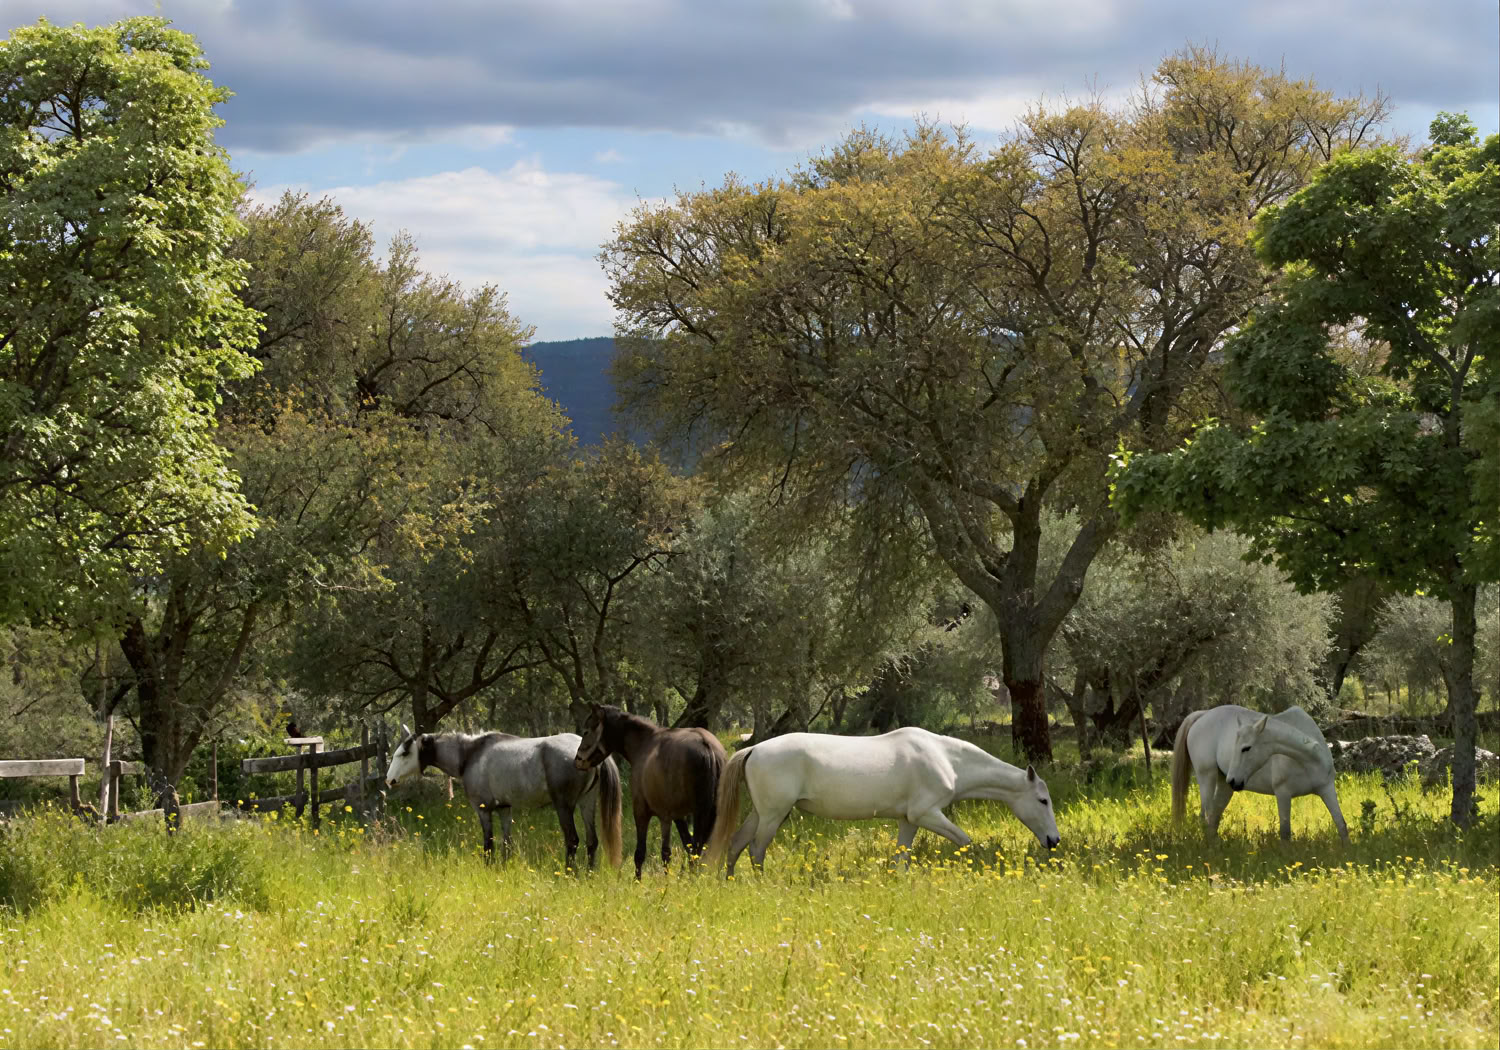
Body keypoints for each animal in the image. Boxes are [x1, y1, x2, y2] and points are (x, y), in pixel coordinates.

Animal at [385, 725, 623, 869]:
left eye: (405, 753)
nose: (389, 780)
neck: (470, 755)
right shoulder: (504, 809)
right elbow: (506, 843)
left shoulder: (483, 809)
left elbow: (488, 843)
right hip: (587, 803)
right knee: (592, 841)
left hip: (564, 806)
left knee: (573, 840)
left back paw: (569, 874)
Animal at [572, 704, 725, 879]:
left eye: (586, 732)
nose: (577, 760)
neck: (644, 744)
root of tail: (707, 746)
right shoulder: (676, 816)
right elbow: (682, 846)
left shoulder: (643, 812)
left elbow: (642, 852)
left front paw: (638, 880)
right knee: (700, 848)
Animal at [701, 727, 1060, 876]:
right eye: (1043, 800)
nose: (1054, 840)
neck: (945, 758)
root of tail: (754, 749)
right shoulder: (927, 814)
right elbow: (964, 841)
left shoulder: (908, 820)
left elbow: (902, 856)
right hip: (774, 815)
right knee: (755, 849)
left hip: (763, 814)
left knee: (736, 844)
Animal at [1171, 704, 1349, 843]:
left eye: (1246, 748)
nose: (1234, 780)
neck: (1308, 760)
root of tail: (1202, 715)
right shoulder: (1283, 793)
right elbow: (1285, 834)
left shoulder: (1327, 789)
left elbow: (1341, 825)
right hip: (1207, 777)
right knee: (1206, 816)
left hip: (1224, 787)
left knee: (1213, 819)